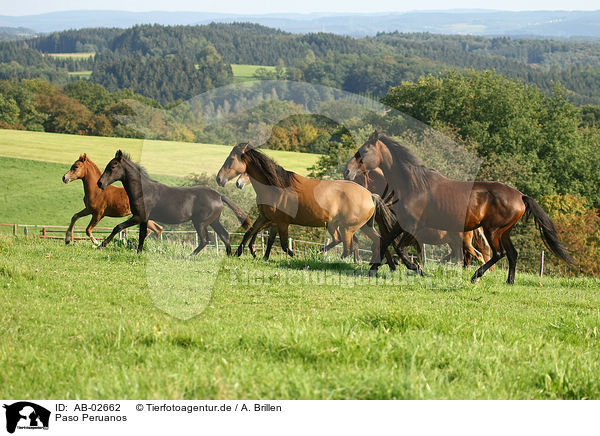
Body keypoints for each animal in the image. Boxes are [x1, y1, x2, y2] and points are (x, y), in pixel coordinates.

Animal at [96, 150, 251, 254]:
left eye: (113, 166)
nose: (100, 183)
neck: (143, 191)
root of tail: (219, 195)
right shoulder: (144, 219)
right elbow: (141, 236)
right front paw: (139, 252)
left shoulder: (139, 216)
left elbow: (118, 227)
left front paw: (101, 245)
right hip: (213, 221)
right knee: (224, 235)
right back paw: (228, 256)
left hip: (200, 222)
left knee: (205, 240)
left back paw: (190, 256)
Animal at [217, 143, 398, 268]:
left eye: (231, 159)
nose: (219, 179)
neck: (276, 186)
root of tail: (370, 195)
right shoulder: (268, 218)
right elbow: (252, 233)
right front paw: (242, 253)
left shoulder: (282, 222)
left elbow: (284, 245)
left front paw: (295, 257)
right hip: (363, 226)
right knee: (377, 241)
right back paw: (387, 266)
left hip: (347, 227)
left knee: (347, 247)